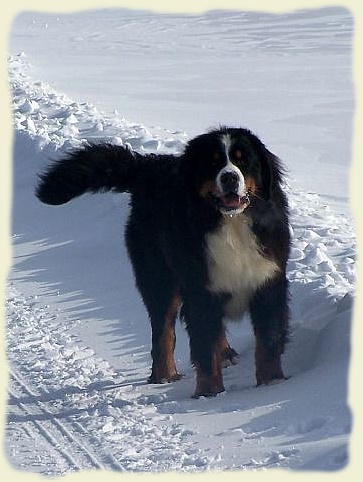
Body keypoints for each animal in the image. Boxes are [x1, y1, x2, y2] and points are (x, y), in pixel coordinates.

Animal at [35, 126, 290, 398]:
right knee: (163, 331)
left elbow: (269, 340)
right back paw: (165, 374)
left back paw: (225, 354)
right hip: (159, 278)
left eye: (243, 161)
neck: (231, 225)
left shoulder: (267, 282)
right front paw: (209, 392)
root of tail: (149, 166)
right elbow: (204, 347)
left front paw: (271, 382)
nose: (230, 177)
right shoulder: (200, 288)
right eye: (212, 163)